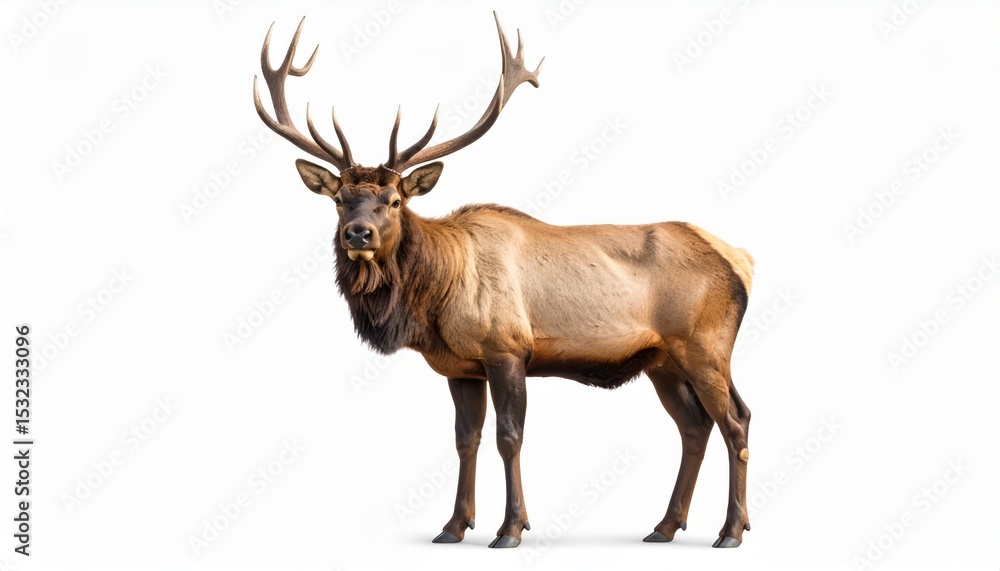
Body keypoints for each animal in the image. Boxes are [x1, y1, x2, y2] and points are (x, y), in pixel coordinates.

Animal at [253, 14, 755, 549]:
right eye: (339, 199)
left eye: (394, 200)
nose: (357, 233)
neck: (434, 298)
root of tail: (741, 259)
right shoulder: (459, 367)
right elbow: (464, 439)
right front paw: (453, 526)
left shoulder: (508, 349)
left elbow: (508, 437)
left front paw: (511, 528)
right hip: (662, 360)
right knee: (695, 427)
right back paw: (665, 526)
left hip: (705, 344)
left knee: (735, 420)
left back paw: (731, 530)